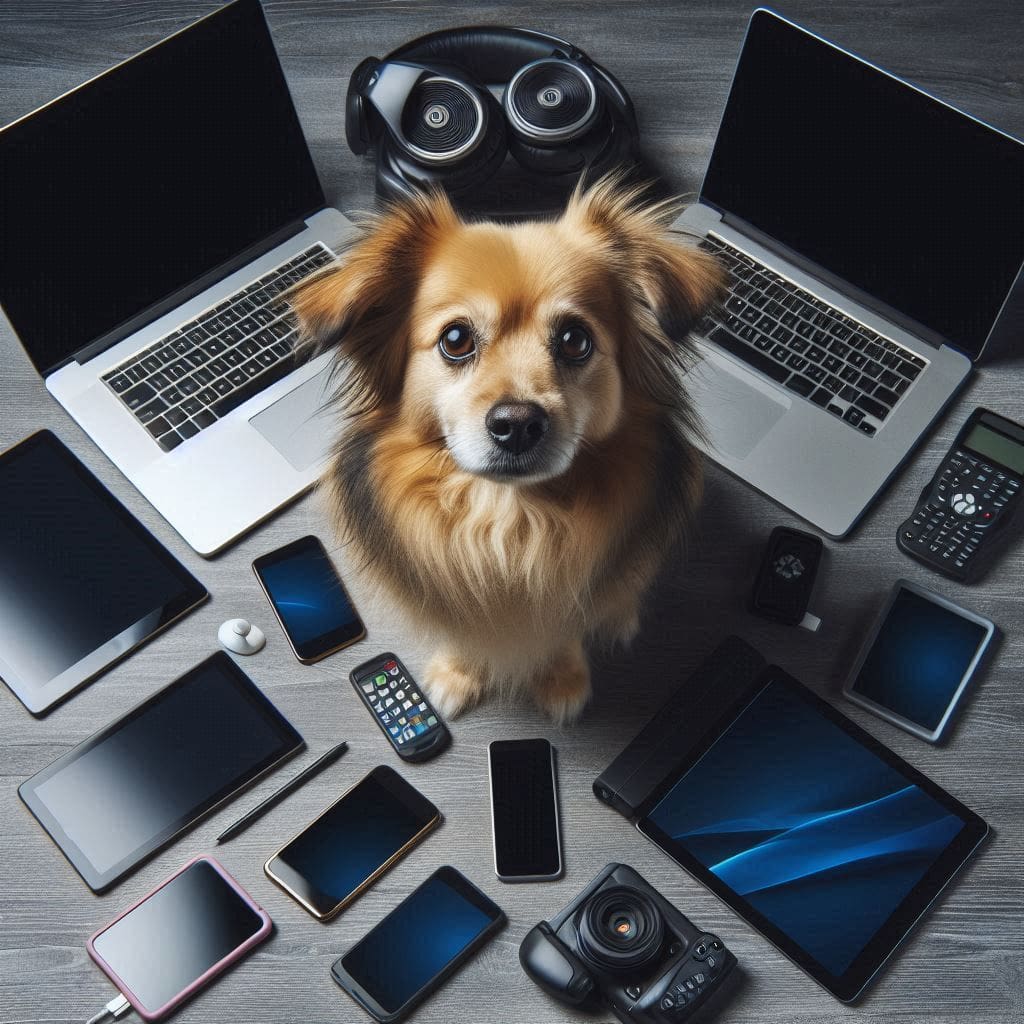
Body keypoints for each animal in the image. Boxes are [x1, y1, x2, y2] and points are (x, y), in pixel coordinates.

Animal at [292, 176, 724, 720]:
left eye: (575, 340)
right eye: (456, 338)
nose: (517, 424)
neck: (512, 523)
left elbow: (566, 626)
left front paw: (562, 678)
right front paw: (458, 674)